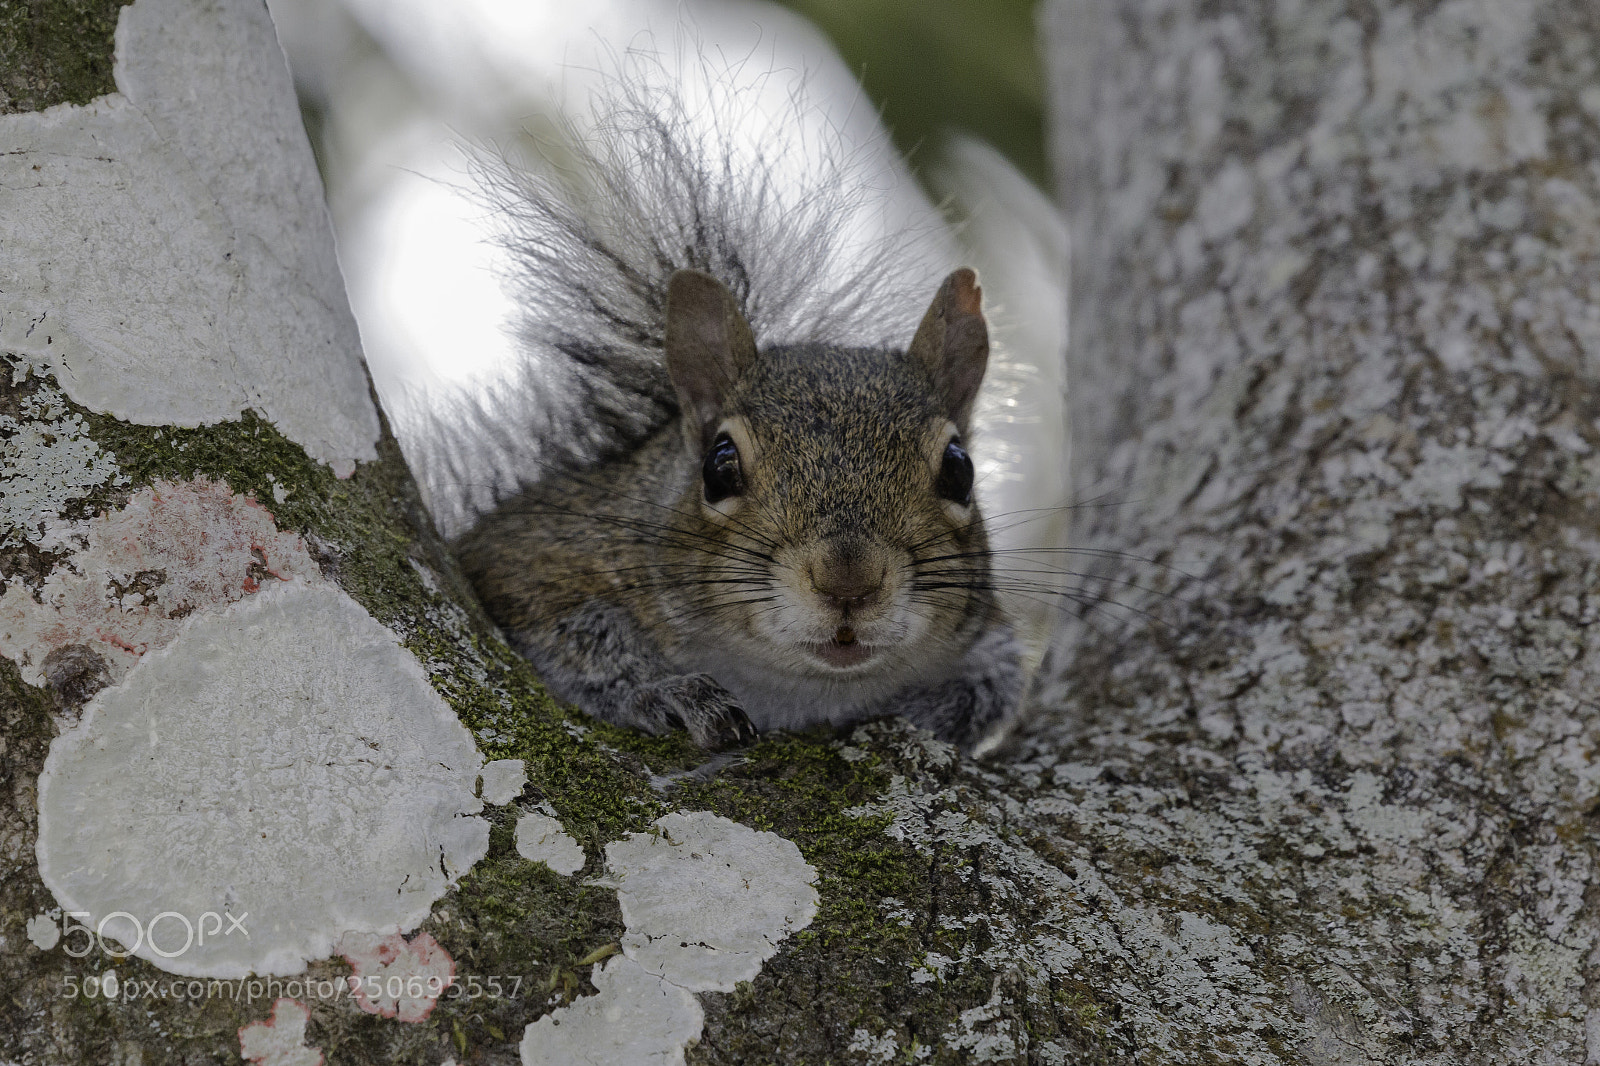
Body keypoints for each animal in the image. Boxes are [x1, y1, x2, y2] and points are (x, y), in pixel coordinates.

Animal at [416, 62, 1026, 752]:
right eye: (718, 468)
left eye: (959, 470)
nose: (849, 582)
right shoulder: (529, 561)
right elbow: (580, 642)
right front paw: (671, 692)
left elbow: (994, 685)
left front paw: (926, 709)